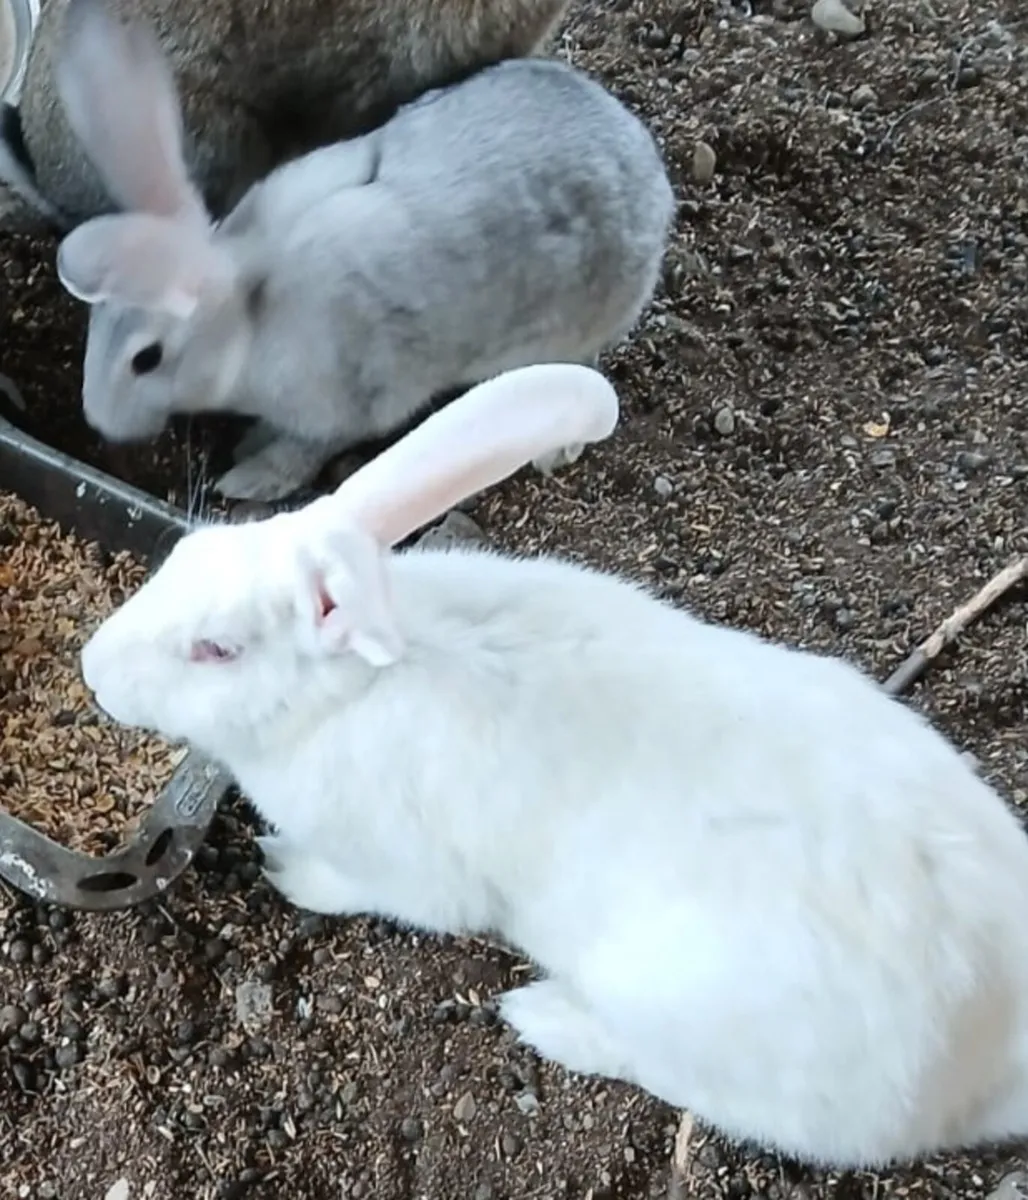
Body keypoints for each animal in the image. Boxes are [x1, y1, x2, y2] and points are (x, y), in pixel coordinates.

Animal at [79, 360, 1028, 1171]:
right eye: (184, 554)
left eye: (217, 650)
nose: (90, 668)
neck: (353, 686)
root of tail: (989, 1068)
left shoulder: (406, 871)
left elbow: (364, 889)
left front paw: (285, 869)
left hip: (683, 1011)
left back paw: (542, 1017)